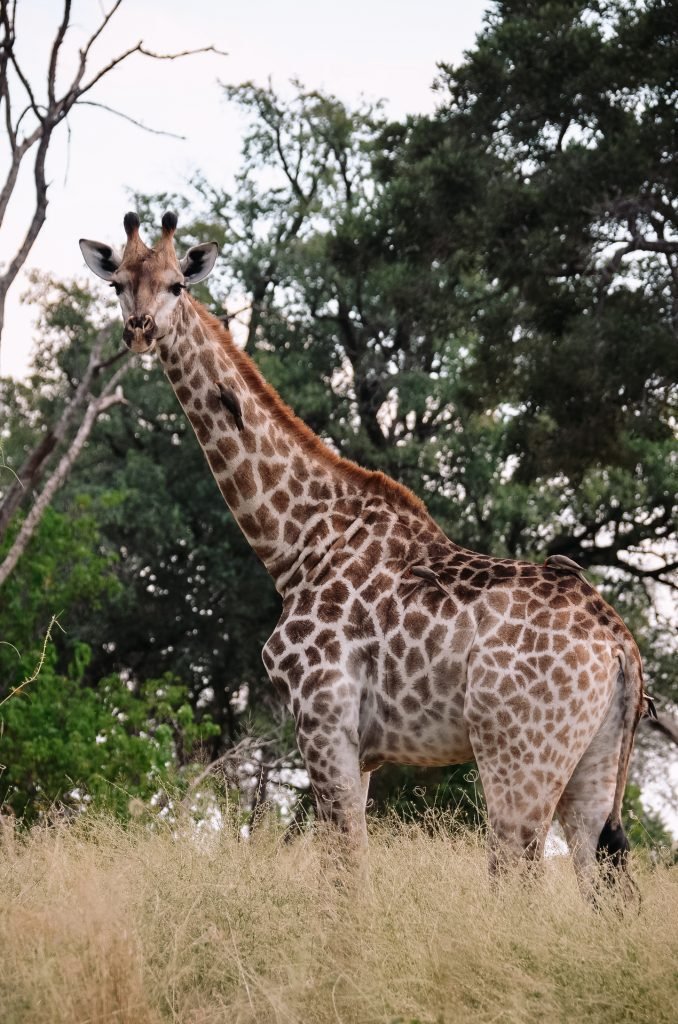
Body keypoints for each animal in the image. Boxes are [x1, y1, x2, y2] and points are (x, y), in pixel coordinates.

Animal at [80, 211, 652, 898]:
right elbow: (346, 863)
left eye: (177, 286)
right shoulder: (363, 748)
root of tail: (620, 646)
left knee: (516, 875)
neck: (297, 543)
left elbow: (344, 869)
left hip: (518, 754)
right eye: (118, 284)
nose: (139, 329)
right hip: (594, 767)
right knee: (605, 881)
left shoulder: (323, 718)